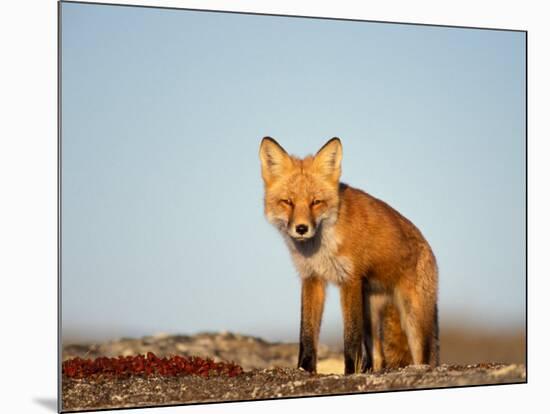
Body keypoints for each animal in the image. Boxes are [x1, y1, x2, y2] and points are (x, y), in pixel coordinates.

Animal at [260, 137, 442, 376]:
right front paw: (305, 370)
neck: (321, 248)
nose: (301, 228)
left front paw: (348, 372)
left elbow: (350, 338)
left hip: (414, 320)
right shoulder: (312, 278)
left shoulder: (350, 279)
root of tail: (427, 246)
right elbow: (306, 335)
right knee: (377, 357)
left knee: (424, 357)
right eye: (287, 202)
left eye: (316, 202)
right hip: (371, 318)